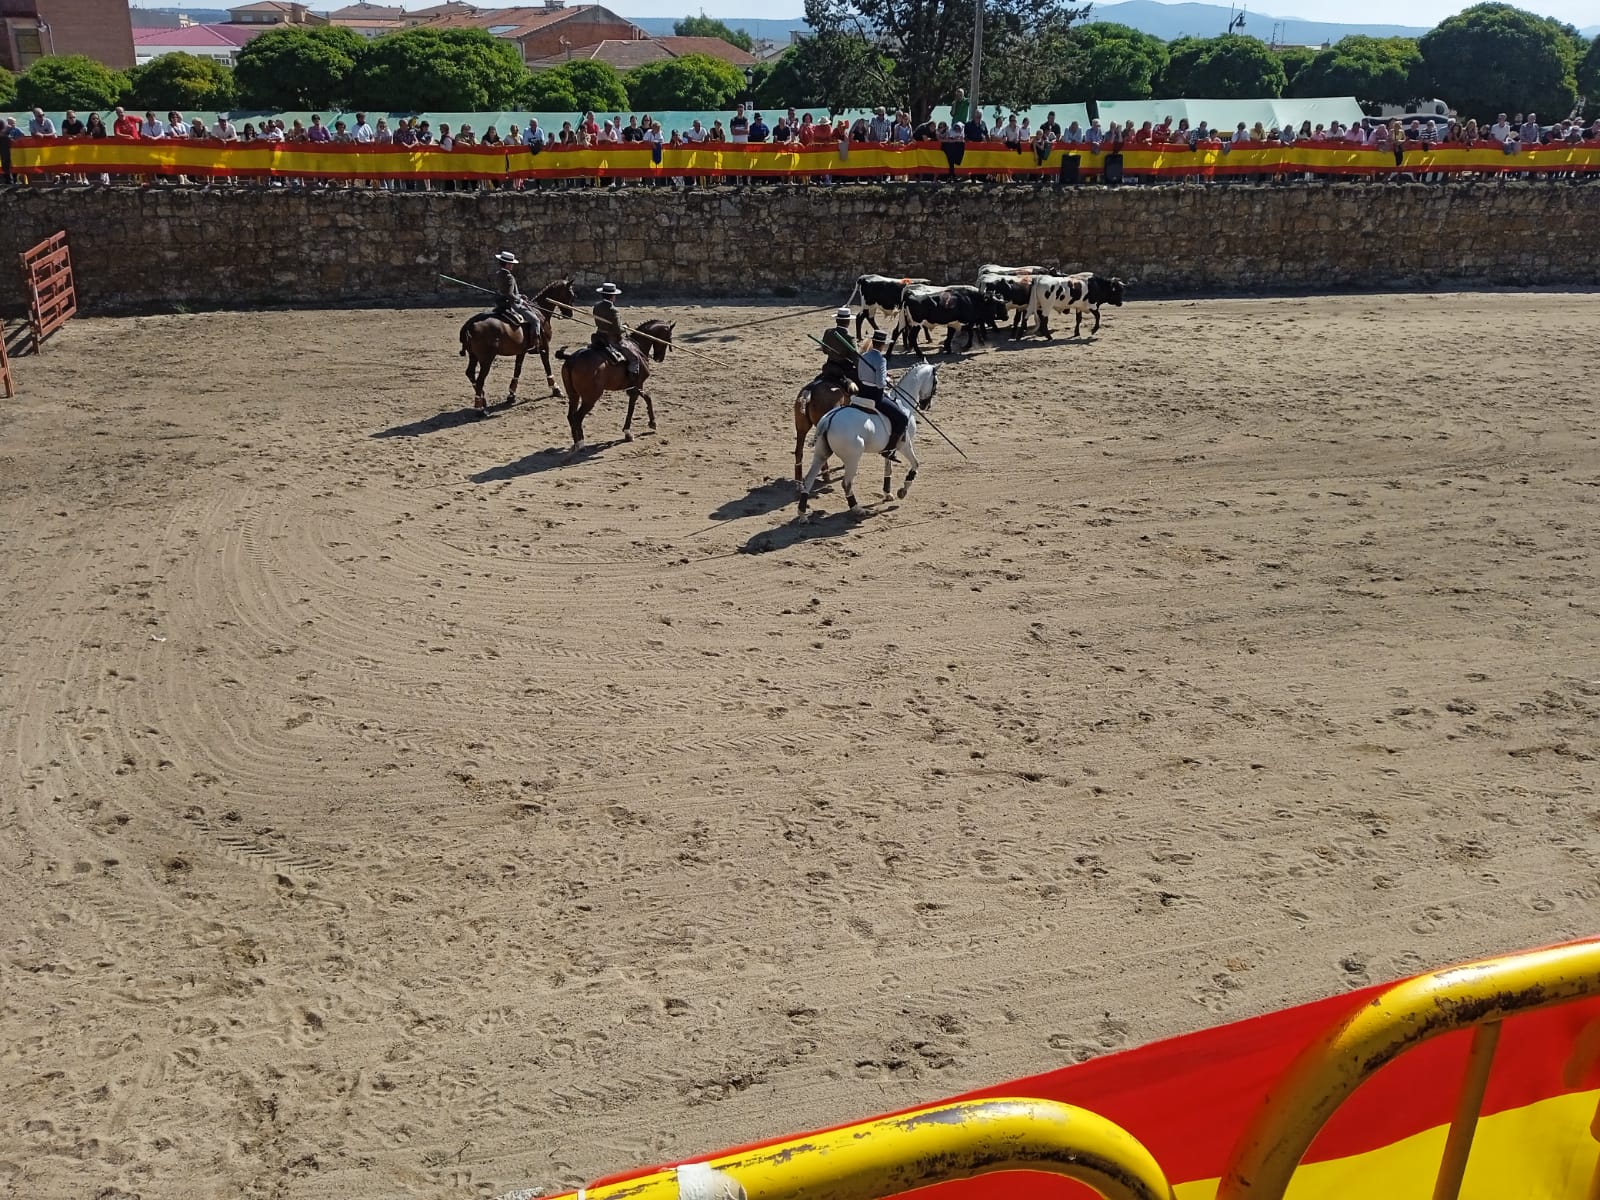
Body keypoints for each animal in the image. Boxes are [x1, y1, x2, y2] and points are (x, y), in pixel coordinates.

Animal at [460, 278, 579, 412]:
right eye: (571, 294)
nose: (569, 314)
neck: (540, 311)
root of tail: (470, 324)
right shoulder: (544, 347)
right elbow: (547, 366)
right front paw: (556, 389)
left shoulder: (521, 351)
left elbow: (517, 370)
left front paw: (511, 395)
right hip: (486, 359)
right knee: (480, 380)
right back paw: (481, 408)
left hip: (473, 356)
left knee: (470, 373)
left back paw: (482, 400)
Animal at [556, 321, 675, 457]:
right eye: (669, 337)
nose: (660, 358)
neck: (638, 346)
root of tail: (572, 359)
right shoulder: (637, 385)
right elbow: (636, 404)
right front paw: (632, 431)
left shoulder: (633, 387)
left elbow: (645, 398)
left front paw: (648, 424)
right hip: (590, 398)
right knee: (577, 417)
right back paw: (581, 445)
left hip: (573, 395)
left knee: (571, 416)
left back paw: (575, 444)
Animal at [800, 356, 934, 518]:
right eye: (935, 381)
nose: (926, 405)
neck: (903, 404)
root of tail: (829, 419)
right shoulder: (904, 444)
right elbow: (915, 464)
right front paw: (903, 490)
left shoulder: (890, 448)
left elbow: (888, 469)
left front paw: (887, 494)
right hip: (853, 458)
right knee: (846, 483)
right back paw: (857, 509)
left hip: (821, 454)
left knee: (808, 479)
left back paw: (802, 515)